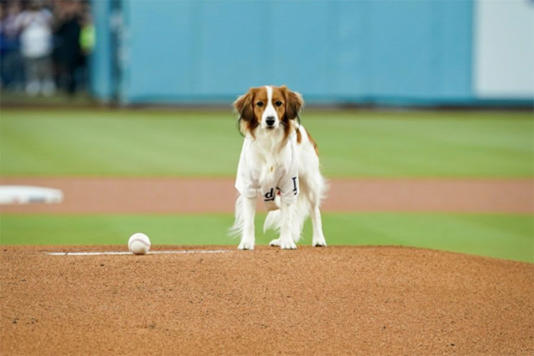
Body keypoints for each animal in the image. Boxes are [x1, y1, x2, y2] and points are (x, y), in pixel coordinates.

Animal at [232, 84, 328, 249]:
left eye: (278, 103)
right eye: (259, 103)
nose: (270, 120)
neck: (269, 141)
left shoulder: (289, 185)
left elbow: (287, 220)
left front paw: (287, 242)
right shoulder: (248, 186)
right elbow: (249, 220)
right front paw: (247, 242)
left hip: (310, 183)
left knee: (314, 211)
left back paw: (318, 239)